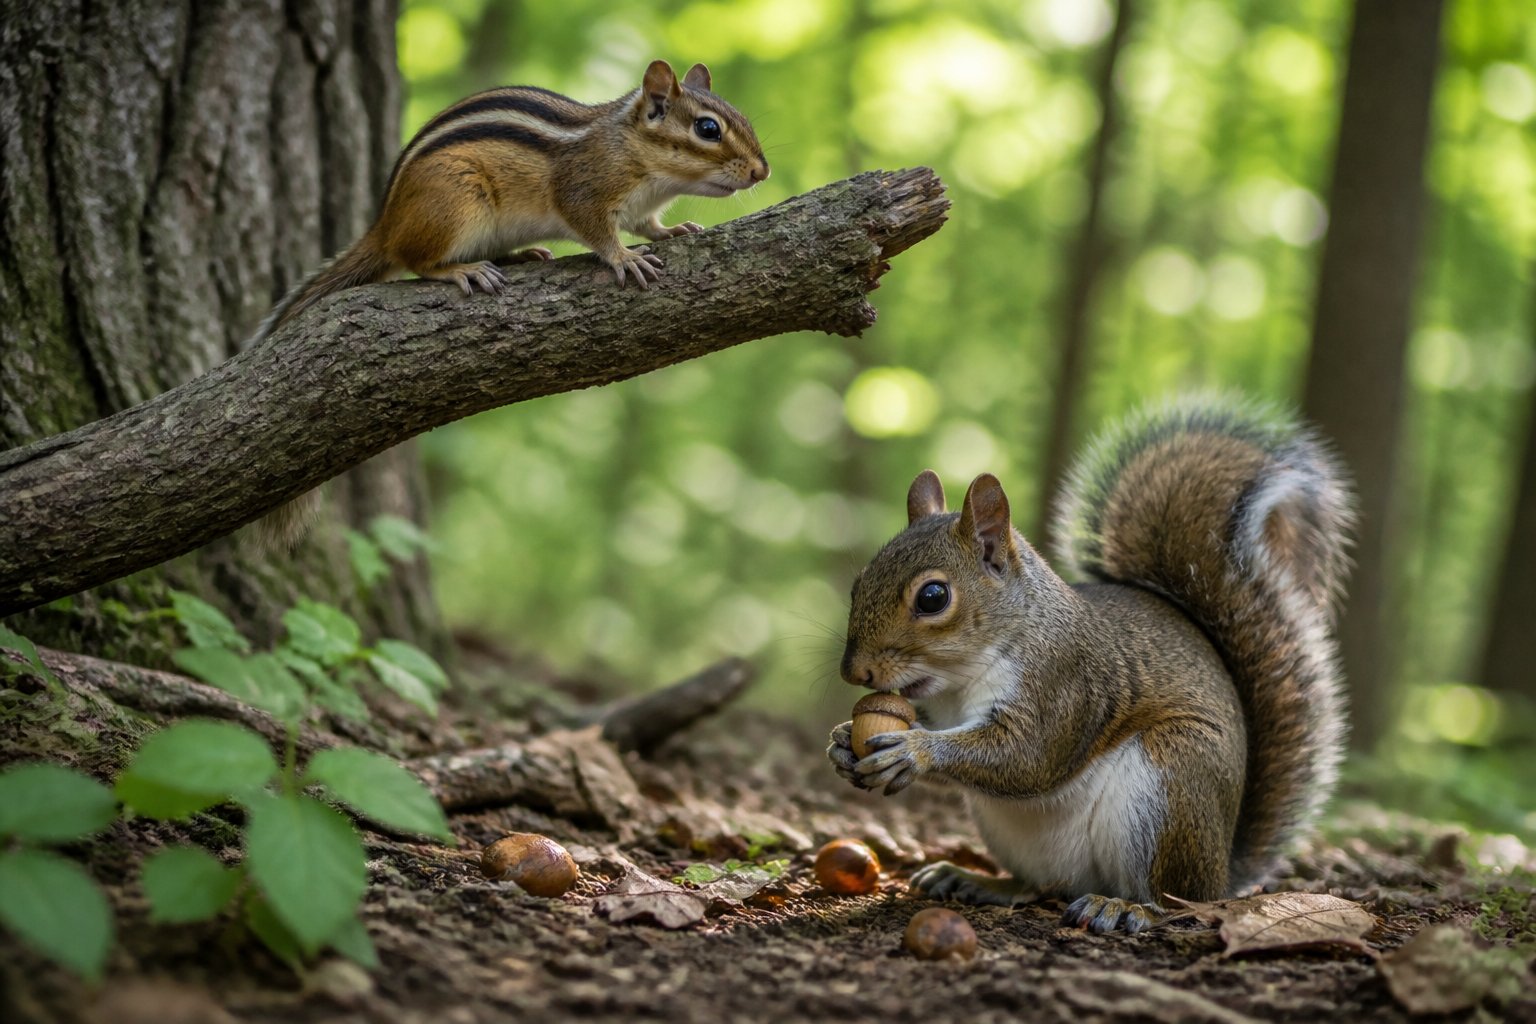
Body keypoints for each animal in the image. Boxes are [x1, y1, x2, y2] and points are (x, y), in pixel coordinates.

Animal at [250, 59, 768, 548]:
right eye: (708, 129)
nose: (762, 171)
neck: (635, 152)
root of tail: (385, 225)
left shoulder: (641, 208)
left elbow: (649, 226)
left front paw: (672, 231)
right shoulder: (583, 191)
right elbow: (598, 231)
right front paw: (624, 258)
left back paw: (520, 255)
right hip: (456, 202)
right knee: (417, 260)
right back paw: (462, 270)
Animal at [826, 397, 1354, 933]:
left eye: (933, 597)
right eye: (859, 583)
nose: (854, 672)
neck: (962, 679)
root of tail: (1223, 872)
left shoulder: (1062, 682)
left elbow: (1027, 757)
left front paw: (913, 750)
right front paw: (843, 744)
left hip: (1173, 779)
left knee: (1176, 899)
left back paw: (1127, 907)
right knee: (1040, 886)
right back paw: (979, 880)